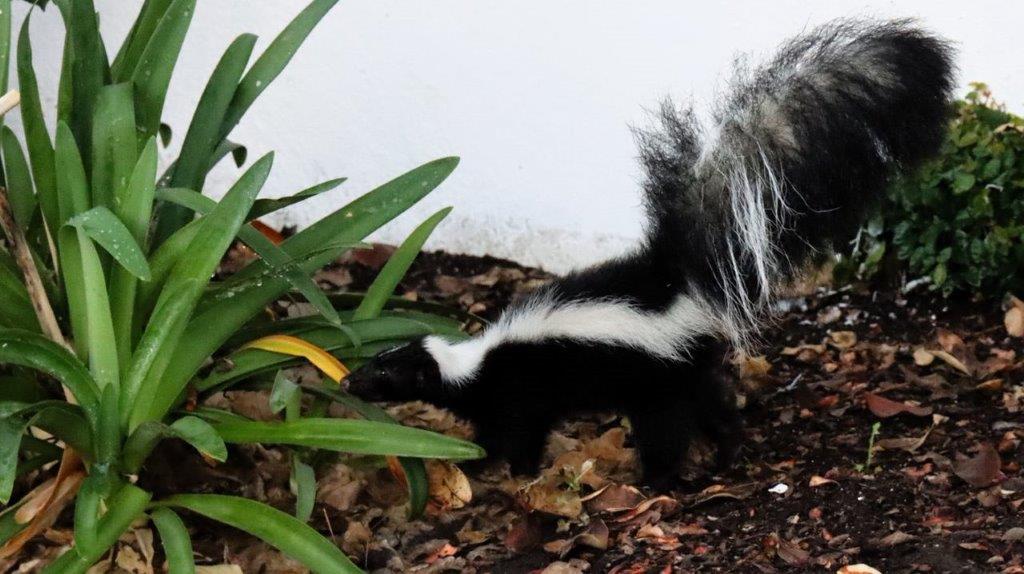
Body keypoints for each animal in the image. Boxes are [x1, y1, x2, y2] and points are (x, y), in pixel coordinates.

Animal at [344, 19, 950, 482]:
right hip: (689, 366)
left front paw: (501, 471)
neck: (472, 363)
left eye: (383, 374)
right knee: (716, 406)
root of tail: (675, 281)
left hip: (659, 378)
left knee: (669, 429)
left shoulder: (517, 394)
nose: (347, 381)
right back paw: (728, 455)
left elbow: (516, 435)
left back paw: (662, 480)